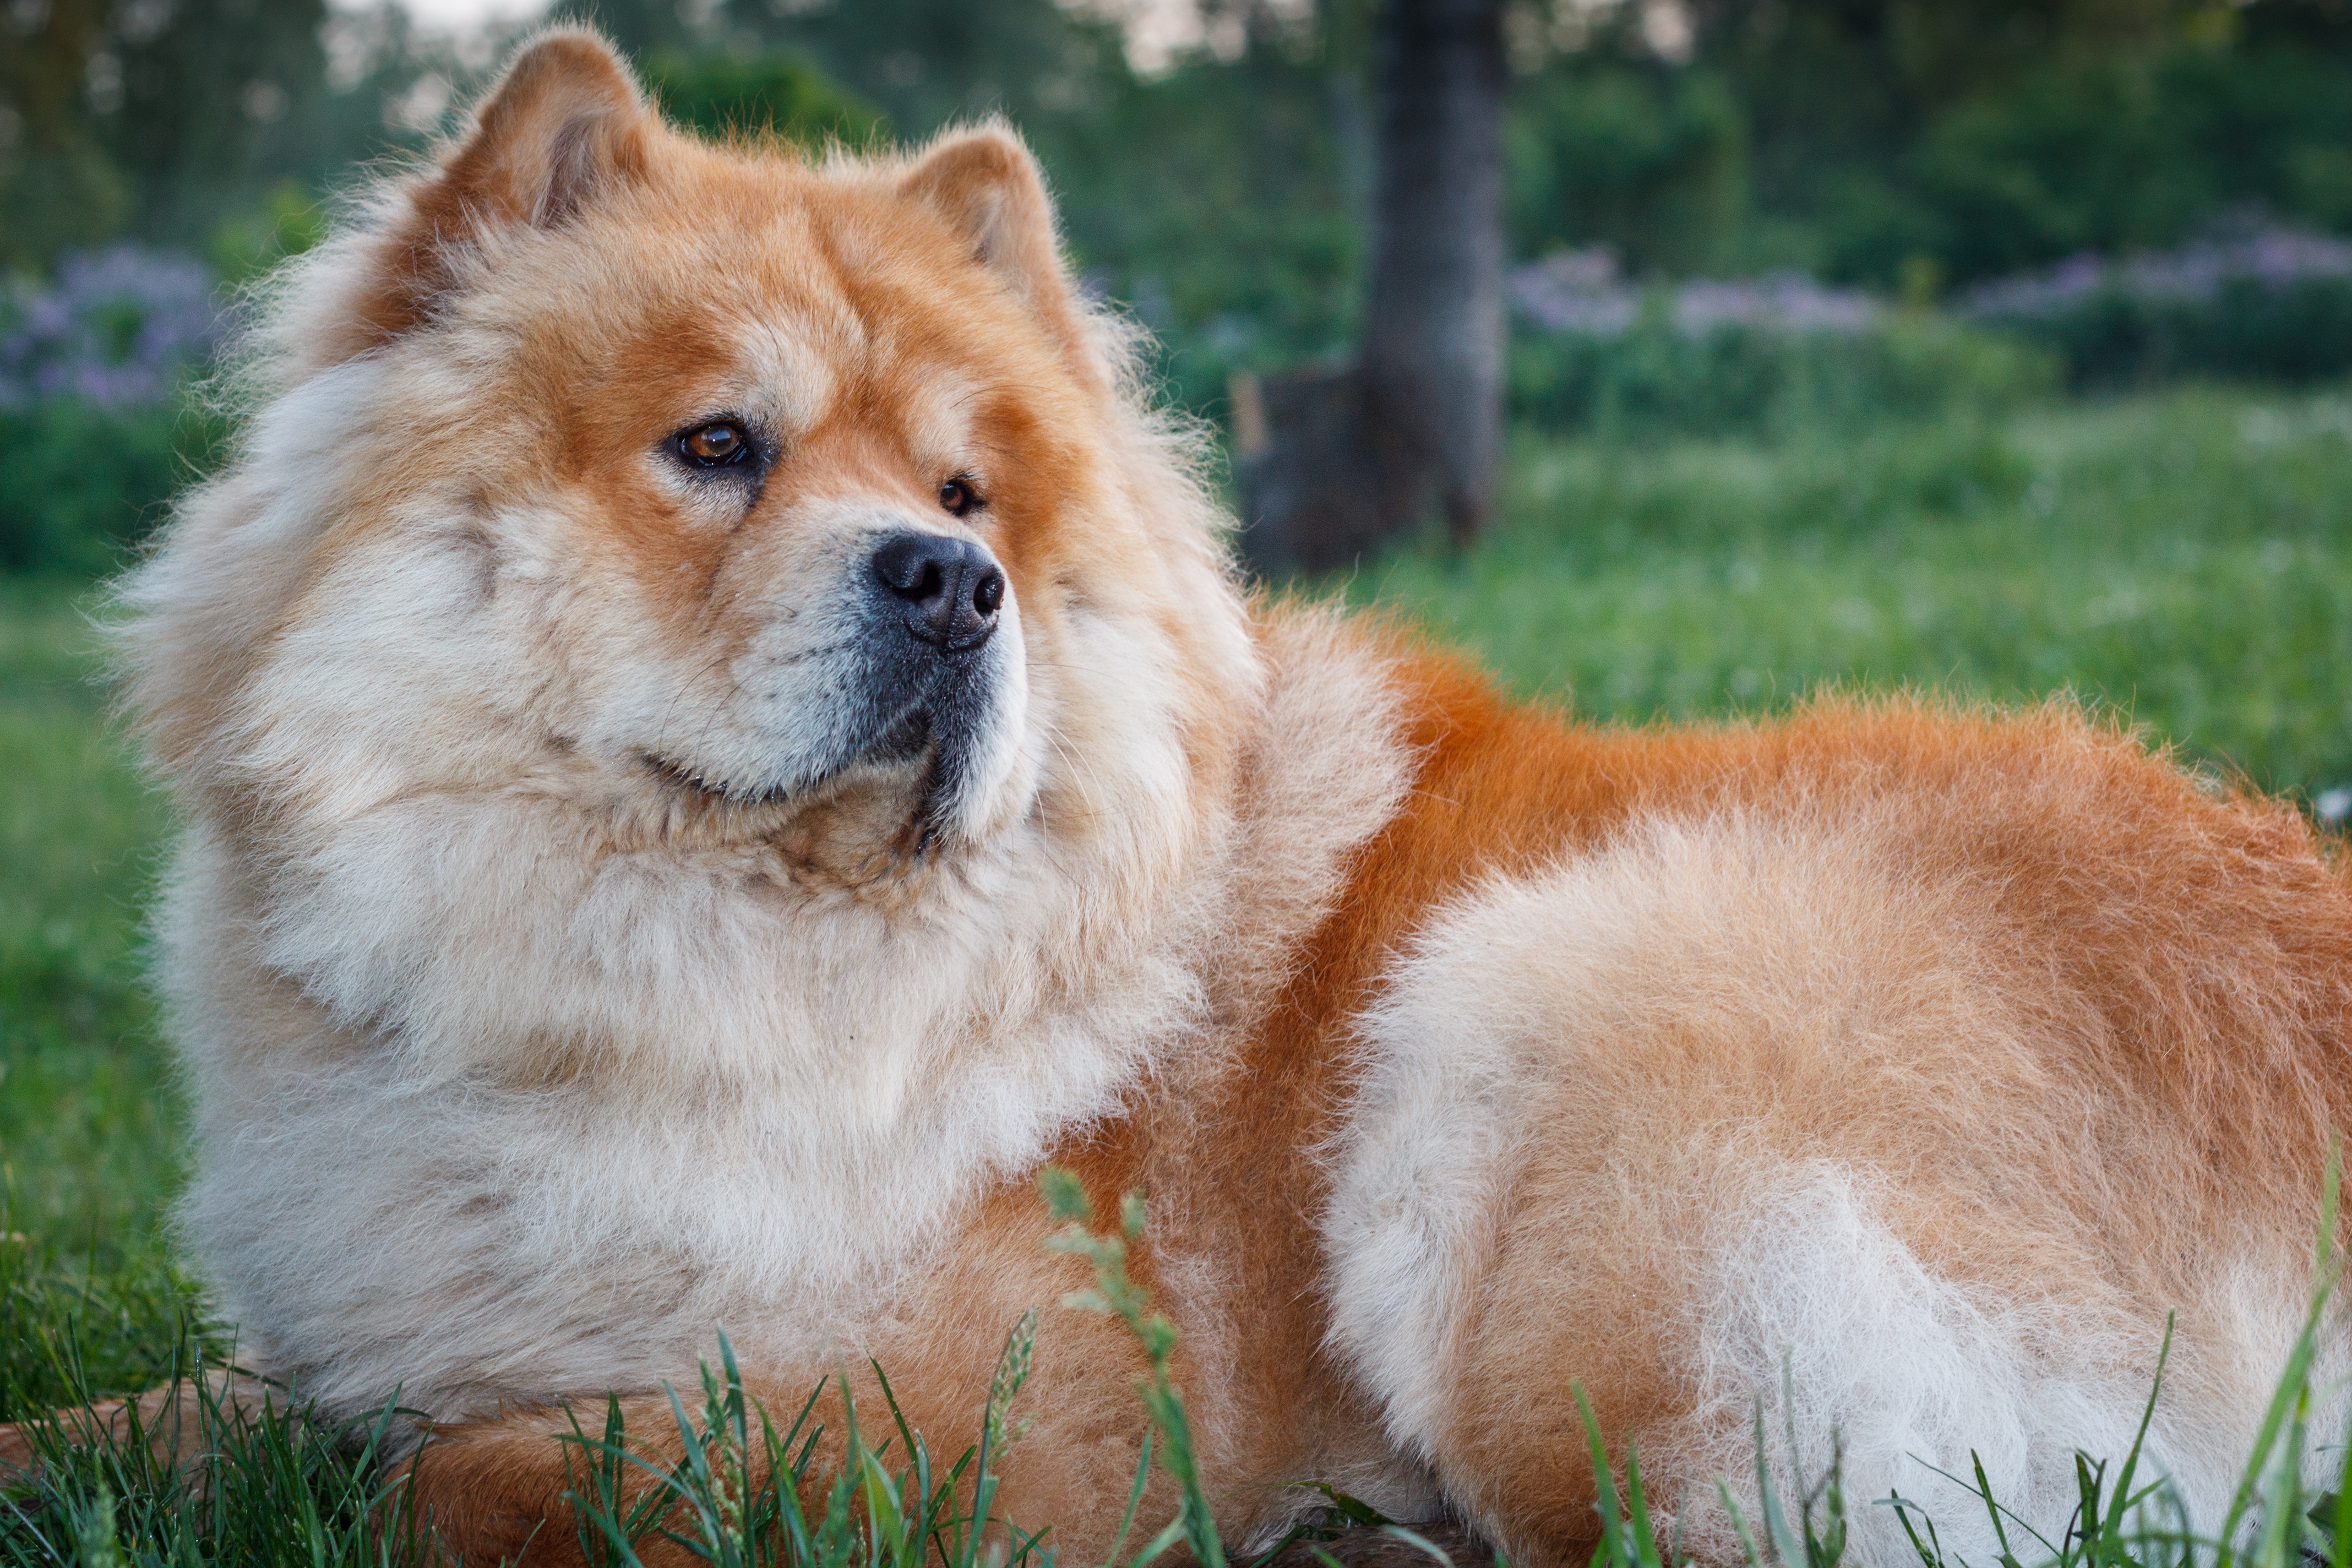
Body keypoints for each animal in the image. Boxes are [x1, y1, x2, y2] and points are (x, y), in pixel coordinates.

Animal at [23, 28, 2352, 1568]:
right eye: (716, 447)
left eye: (968, 494)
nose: (948, 583)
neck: (655, 964)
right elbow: (151, 1413)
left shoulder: (983, 1410)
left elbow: (452, 1465)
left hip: (1536, 1039)